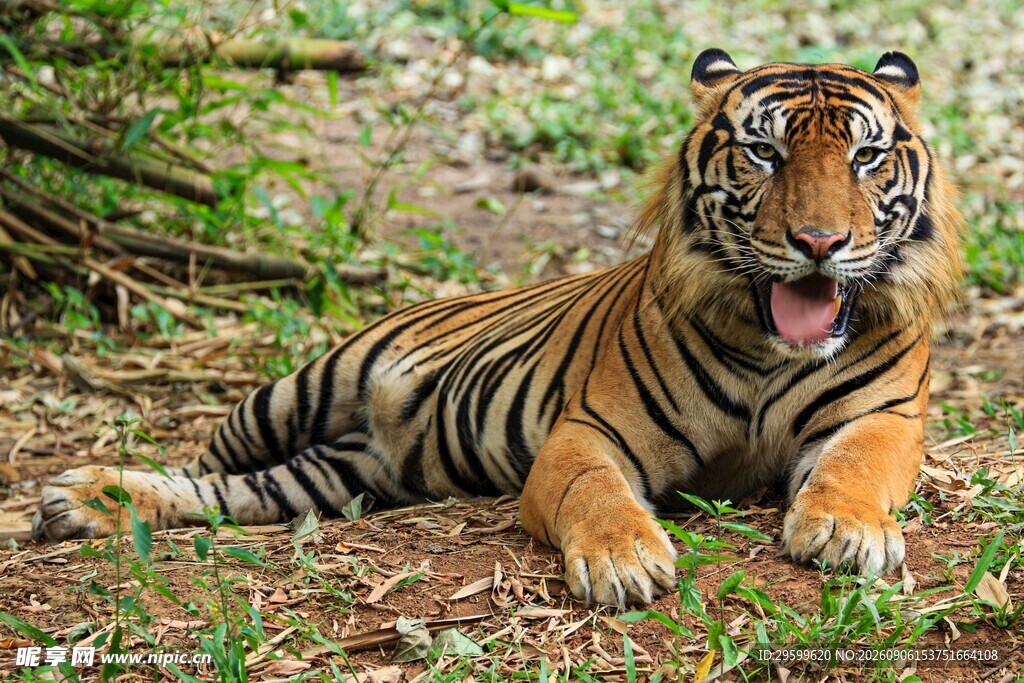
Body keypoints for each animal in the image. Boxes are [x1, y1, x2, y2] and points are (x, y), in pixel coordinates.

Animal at [31, 49, 962, 607]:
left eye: (866, 157)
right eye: (764, 153)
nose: (818, 242)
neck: (771, 349)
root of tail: (381, 432)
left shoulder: (884, 418)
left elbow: (852, 467)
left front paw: (845, 532)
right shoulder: (588, 431)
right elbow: (595, 493)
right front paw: (624, 560)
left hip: (331, 475)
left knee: (236, 494)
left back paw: (83, 505)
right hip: (293, 393)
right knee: (201, 466)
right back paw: (81, 496)